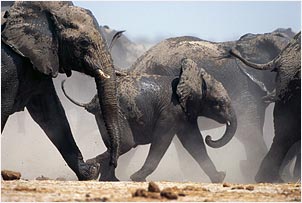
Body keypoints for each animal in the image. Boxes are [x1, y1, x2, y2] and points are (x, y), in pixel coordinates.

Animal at [1, 1, 121, 179]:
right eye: (84, 43)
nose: (113, 163)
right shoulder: (8, 64)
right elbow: (4, 109)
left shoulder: (41, 58)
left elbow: (52, 114)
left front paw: (90, 173)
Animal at [61, 57, 237, 182]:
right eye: (219, 104)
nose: (210, 138)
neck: (189, 78)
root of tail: (91, 102)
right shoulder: (170, 112)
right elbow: (162, 141)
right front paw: (137, 178)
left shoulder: (185, 114)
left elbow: (195, 143)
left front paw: (219, 177)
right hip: (116, 113)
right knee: (126, 144)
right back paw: (94, 168)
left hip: (103, 116)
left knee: (117, 144)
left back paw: (108, 178)